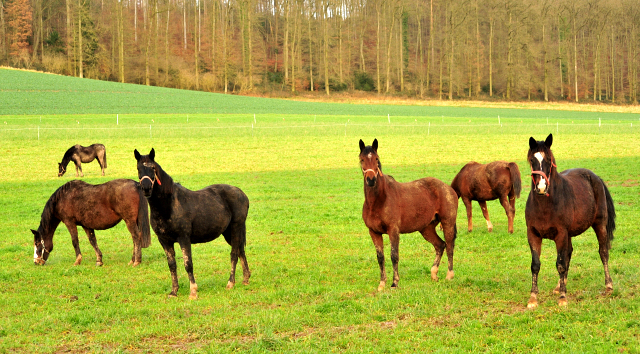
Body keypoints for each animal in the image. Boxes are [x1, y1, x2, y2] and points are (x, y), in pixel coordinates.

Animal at [134, 147, 251, 298]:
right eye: (138, 168)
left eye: (153, 168)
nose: (146, 188)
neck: (168, 205)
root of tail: (242, 194)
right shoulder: (164, 240)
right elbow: (172, 265)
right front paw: (174, 291)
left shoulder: (184, 238)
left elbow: (188, 264)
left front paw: (193, 291)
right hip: (228, 232)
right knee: (241, 250)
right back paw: (246, 279)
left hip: (236, 227)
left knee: (234, 253)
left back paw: (230, 283)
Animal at [360, 138, 460, 290]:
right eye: (362, 159)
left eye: (376, 158)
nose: (371, 180)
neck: (379, 201)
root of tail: (448, 188)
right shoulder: (374, 232)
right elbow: (380, 257)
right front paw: (382, 283)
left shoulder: (393, 231)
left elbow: (394, 255)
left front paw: (394, 283)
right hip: (426, 229)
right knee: (440, 245)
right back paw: (434, 274)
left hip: (447, 222)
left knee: (449, 245)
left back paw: (449, 275)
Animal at [524, 134, 616, 308]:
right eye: (532, 160)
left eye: (549, 159)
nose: (541, 187)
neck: (545, 205)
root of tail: (596, 178)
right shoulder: (533, 234)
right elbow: (535, 265)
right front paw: (533, 298)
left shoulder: (561, 234)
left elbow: (560, 264)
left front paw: (562, 298)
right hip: (569, 234)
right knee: (569, 254)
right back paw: (560, 285)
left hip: (599, 225)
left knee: (603, 252)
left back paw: (609, 286)